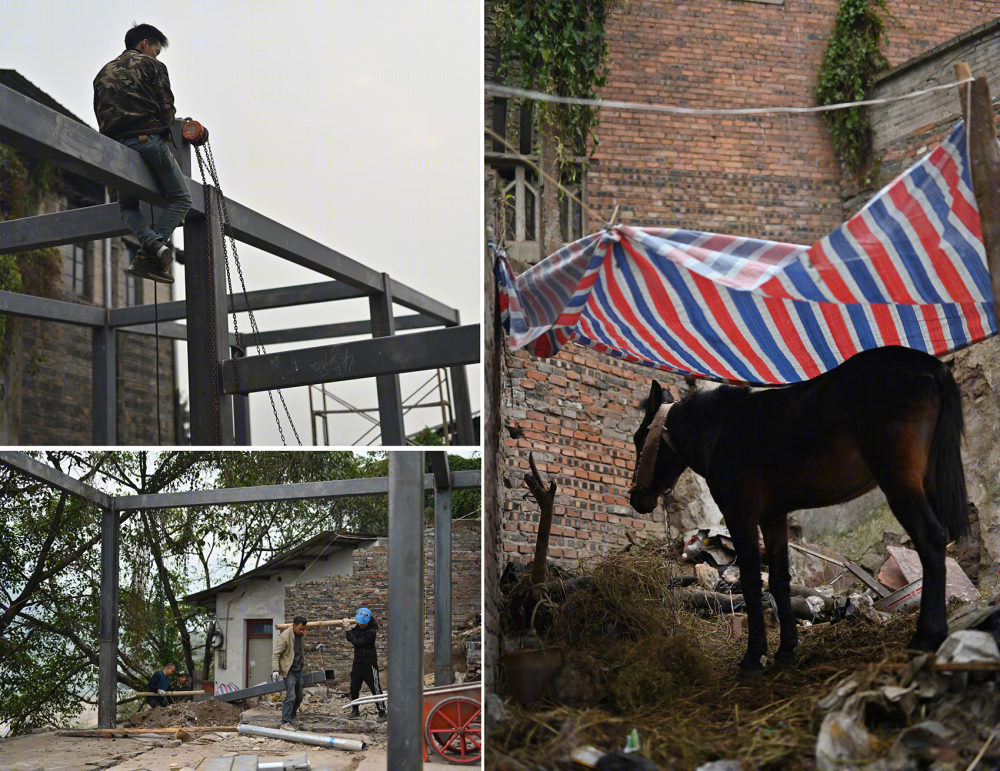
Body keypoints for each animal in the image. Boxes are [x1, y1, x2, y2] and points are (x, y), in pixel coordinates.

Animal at [632, 346, 968, 672]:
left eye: (639, 437)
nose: (636, 498)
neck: (721, 431)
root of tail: (932, 367)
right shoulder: (773, 517)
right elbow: (779, 579)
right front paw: (786, 651)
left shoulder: (740, 514)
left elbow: (752, 582)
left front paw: (754, 656)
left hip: (899, 482)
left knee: (931, 539)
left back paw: (927, 636)